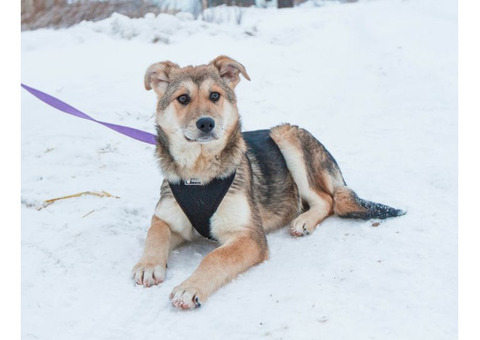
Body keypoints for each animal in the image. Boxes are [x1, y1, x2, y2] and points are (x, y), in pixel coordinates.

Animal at [132, 55, 404, 310]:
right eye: (183, 99)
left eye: (215, 95)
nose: (206, 123)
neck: (199, 176)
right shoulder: (167, 219)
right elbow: (155, 232)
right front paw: (148, 264)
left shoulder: (250, 236)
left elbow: (215, 258)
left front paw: (190, 287)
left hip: (286, 135)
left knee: (327, 200)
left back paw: (304, 221)